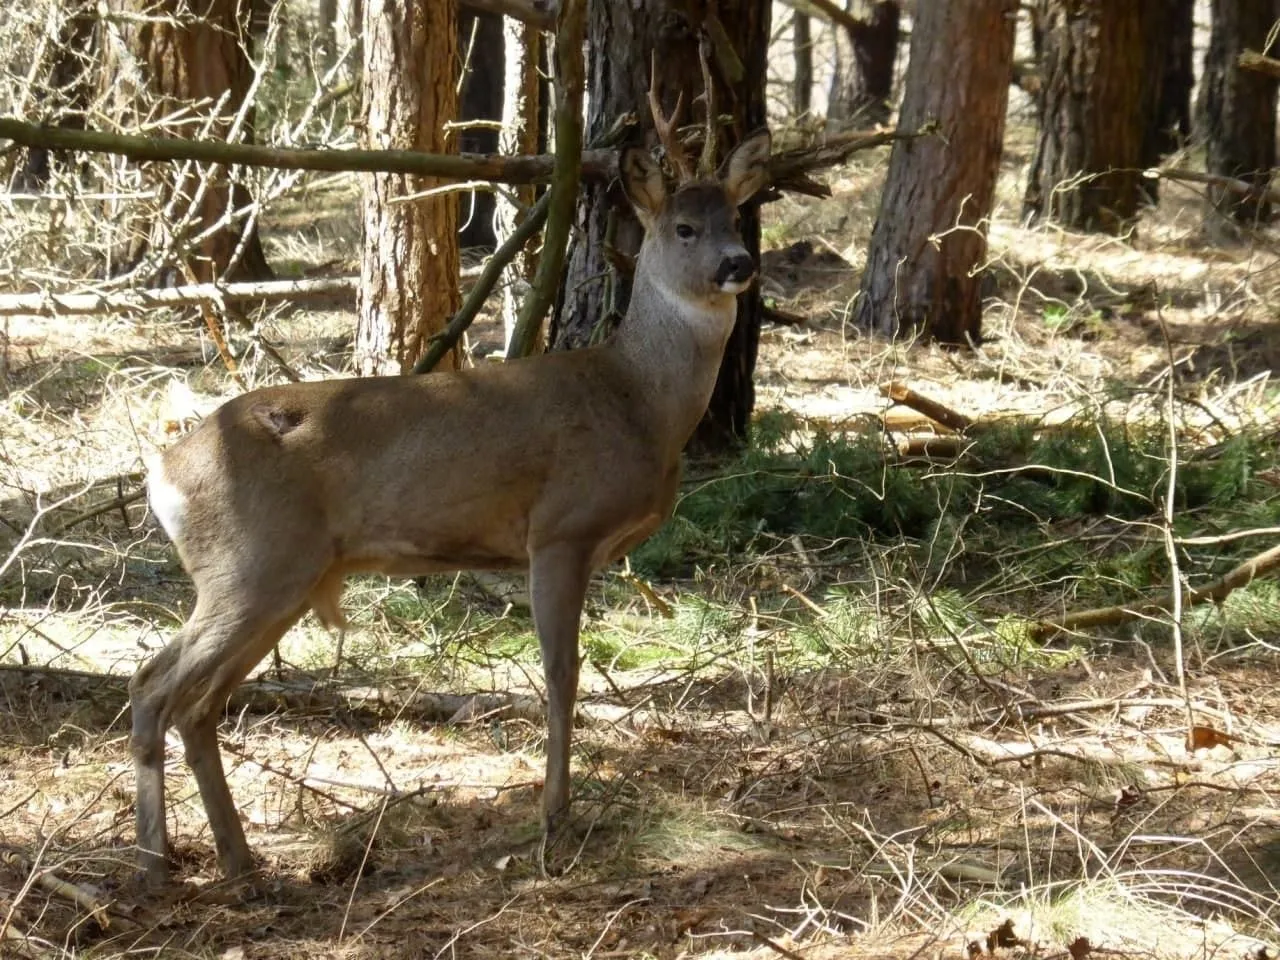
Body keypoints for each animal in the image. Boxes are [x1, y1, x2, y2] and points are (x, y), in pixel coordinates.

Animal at [132, 92, 768, 885]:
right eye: (684, 227)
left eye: (737, 217)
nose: (738, 264)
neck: (639, 399)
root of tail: (162, 473)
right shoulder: (559, 528)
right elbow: (562, 674)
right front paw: (554, 817)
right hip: (250, 565)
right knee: (160, 690)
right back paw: (175, 865)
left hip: (278, 578)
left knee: (182, 697)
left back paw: (218, 862)